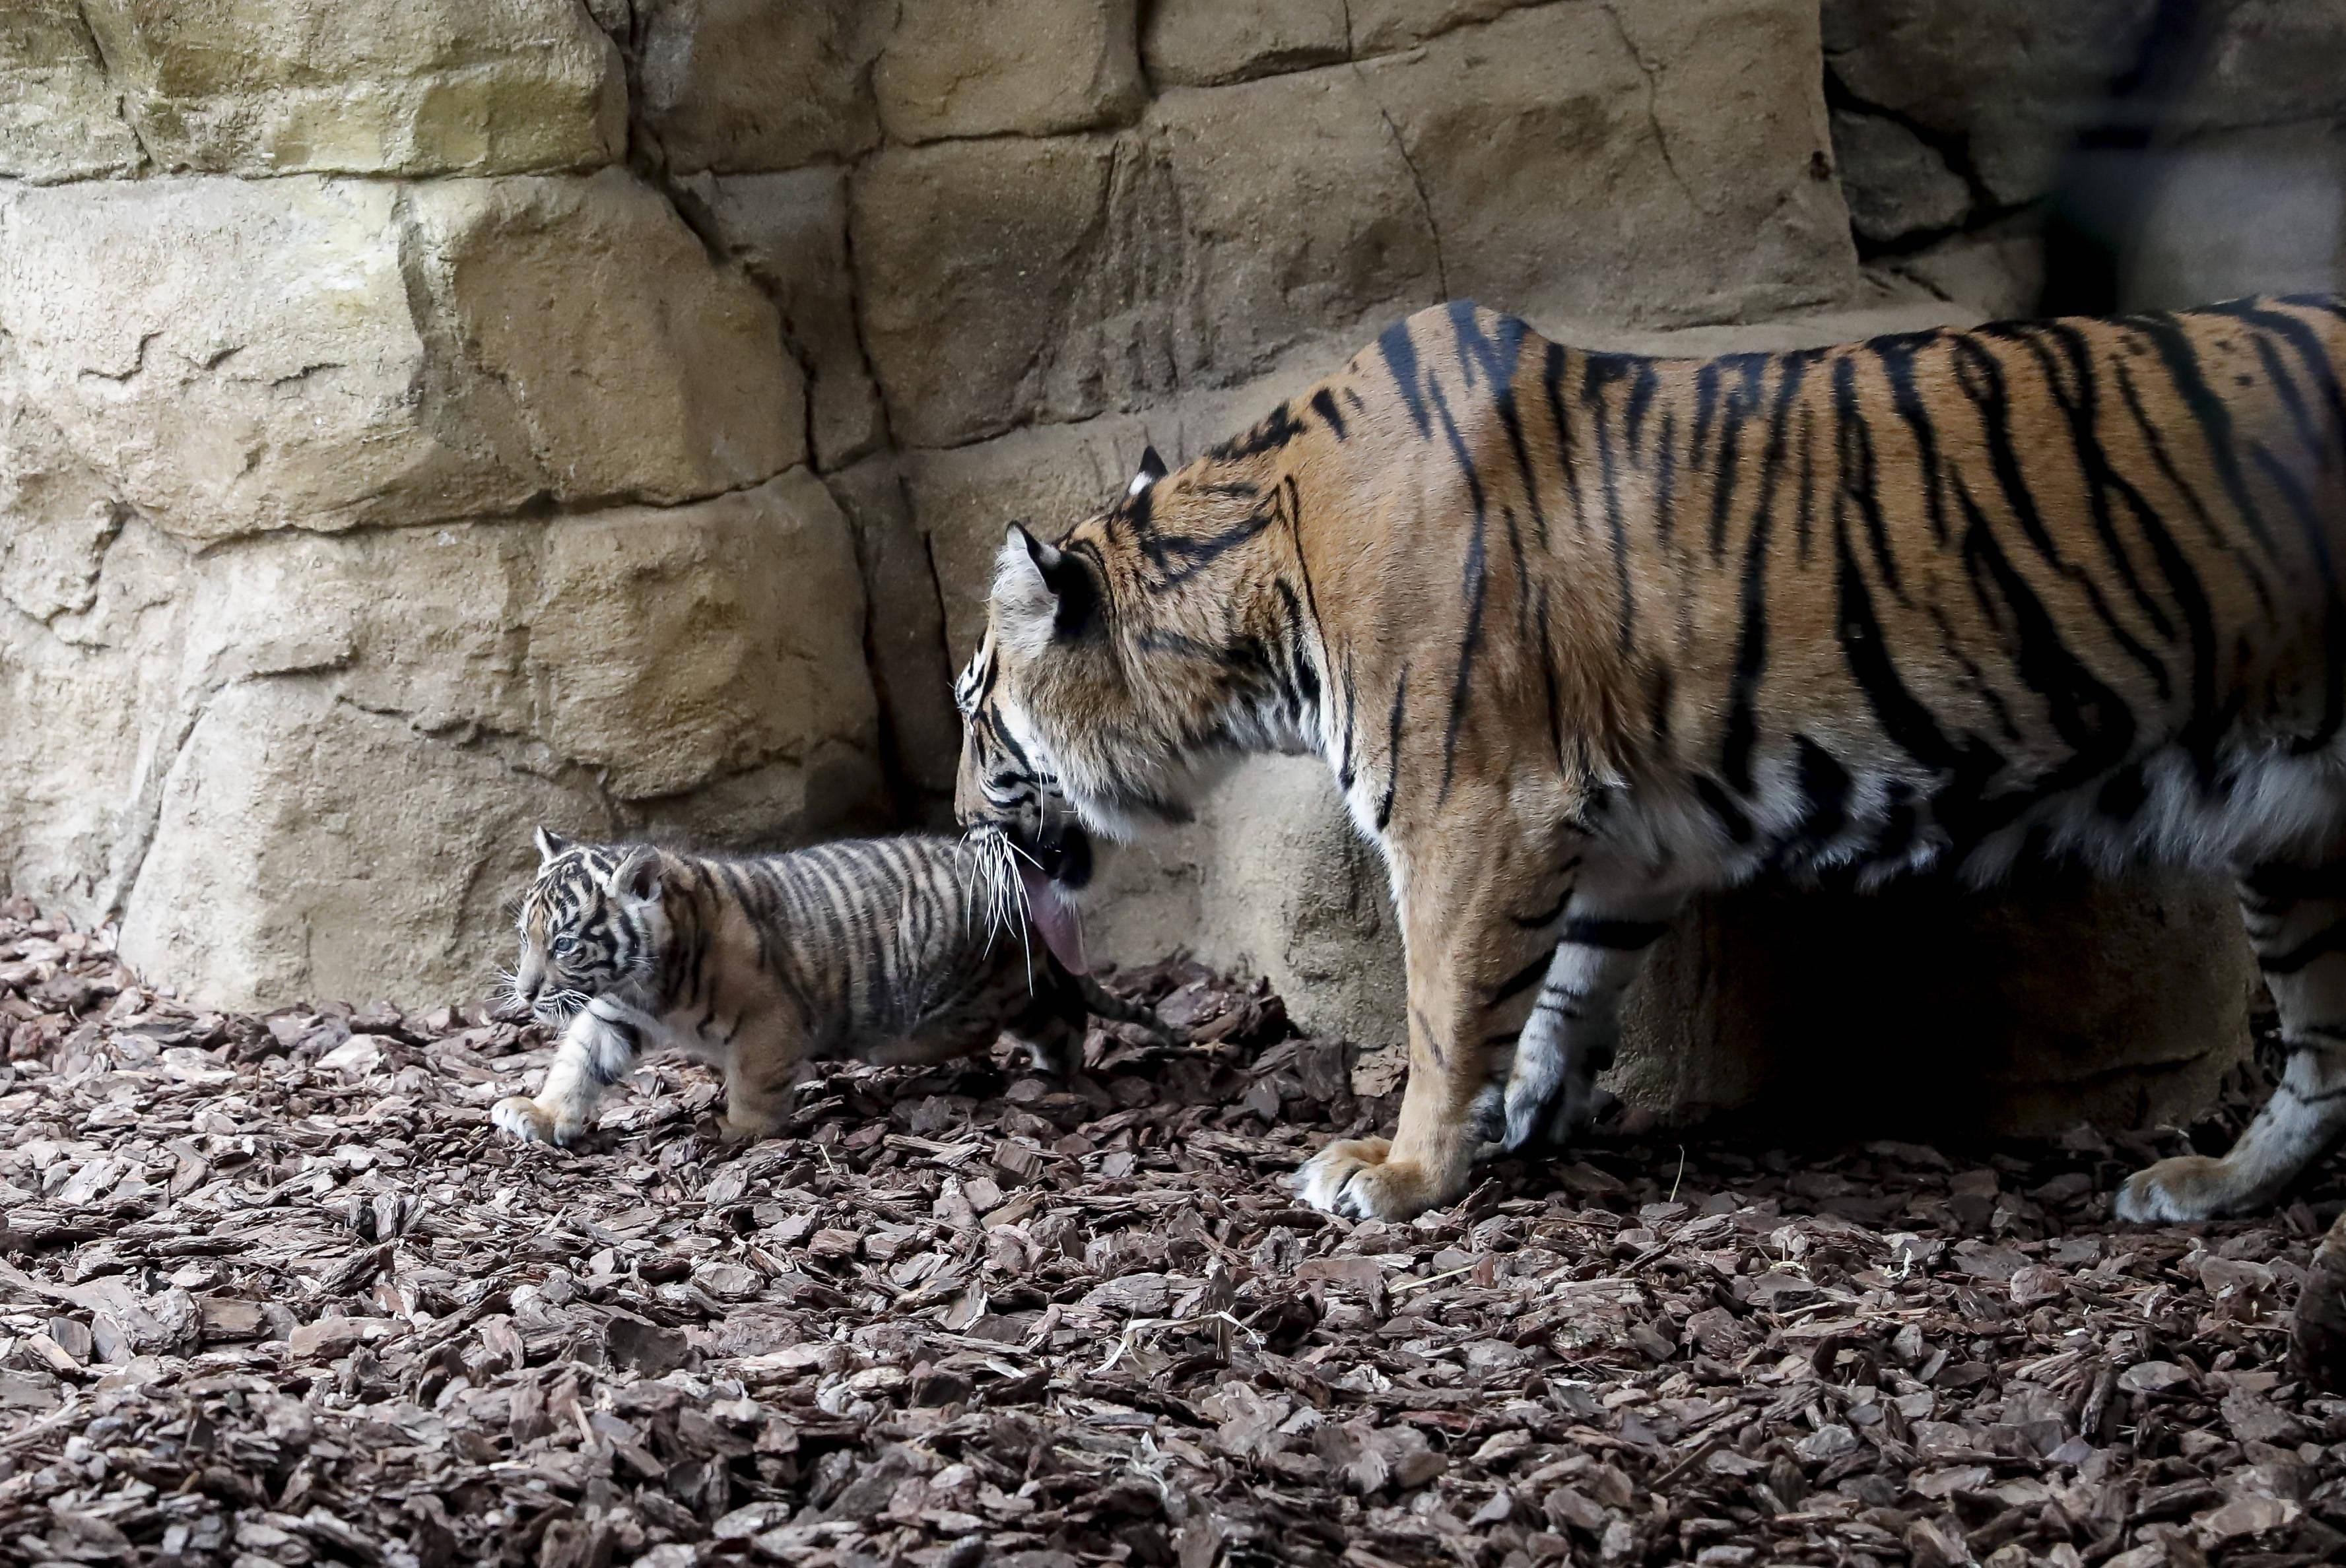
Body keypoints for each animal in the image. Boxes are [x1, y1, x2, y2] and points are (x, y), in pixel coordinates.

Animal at [943, 296, 2346, 1247]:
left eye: (972, 711)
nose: (954, 815)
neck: (1250, 609)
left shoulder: (1469, 808)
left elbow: (1442, 1001)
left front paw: (1399, 1171)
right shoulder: (1626, 835)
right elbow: (1563, 987)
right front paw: (1524, 1116)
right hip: (2295, 841)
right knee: (2325, 1063)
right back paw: (2207, 1187)